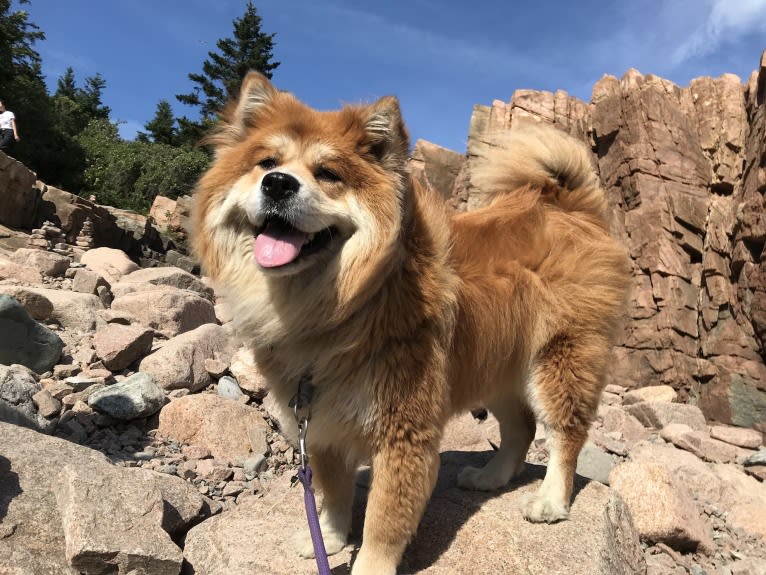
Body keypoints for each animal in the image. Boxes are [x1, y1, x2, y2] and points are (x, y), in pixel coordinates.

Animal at [190, 72, 632, 575]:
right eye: (266, 162)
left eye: (328, 173)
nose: (277, 184)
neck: (347, 305)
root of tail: (571, 208)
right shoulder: (319, 422)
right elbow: (334, 493)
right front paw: (329, 538)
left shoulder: (402, 432)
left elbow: (384, 521)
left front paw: (366, 564)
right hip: (494, 367)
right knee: (520, 427)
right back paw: (492, 477)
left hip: (558, 361)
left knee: (564, 434)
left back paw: (550, 502)